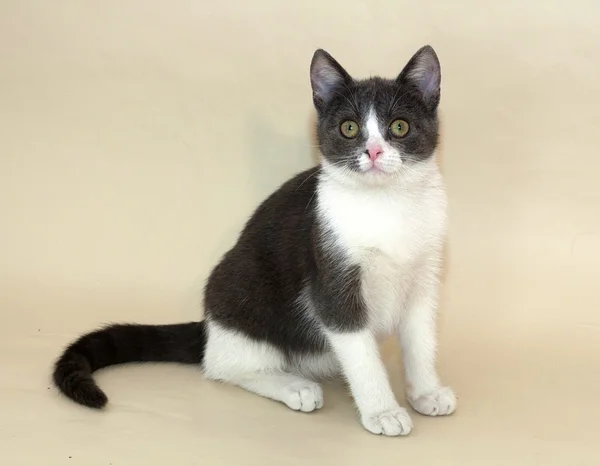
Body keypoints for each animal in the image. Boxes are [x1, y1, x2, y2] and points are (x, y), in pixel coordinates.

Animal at [52, 45, 454, 436]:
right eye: (349, 128)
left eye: (399, 126)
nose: (372, 152)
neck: (387, 203)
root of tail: (210, 326)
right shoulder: (330, 275)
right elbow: (360, 352)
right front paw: (382, 410)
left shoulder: (425, 272)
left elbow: (420, 337)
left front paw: (426, 392)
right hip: (241, 290)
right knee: (222, 366)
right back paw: (292, 385)